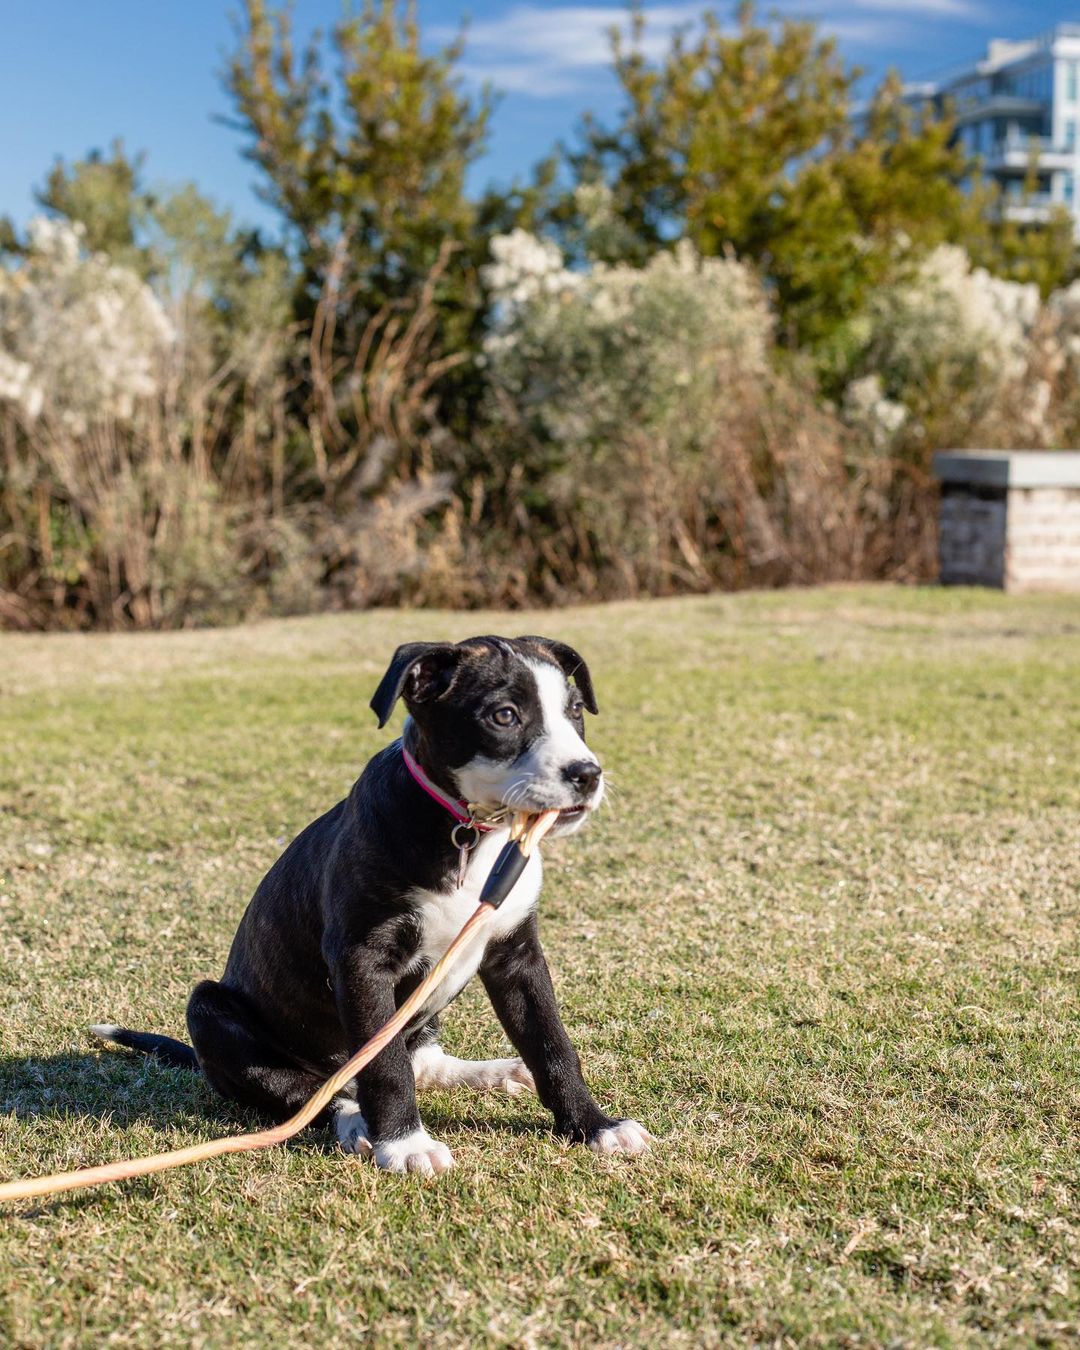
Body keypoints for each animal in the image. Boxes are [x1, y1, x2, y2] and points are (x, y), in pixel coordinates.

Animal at [93, 631, 650, 1171]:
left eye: (575, 710)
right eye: (504, 715)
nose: (587, 774)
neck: (468, 833)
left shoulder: (516, 954)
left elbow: (552, 1044)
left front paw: (594, 1125)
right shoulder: (362, 961)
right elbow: (384, 1066)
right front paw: (405, 1145)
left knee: (420, 1059)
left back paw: (492, 1072)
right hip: (210, 1011)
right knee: (313, 1091)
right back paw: (355, 1121)